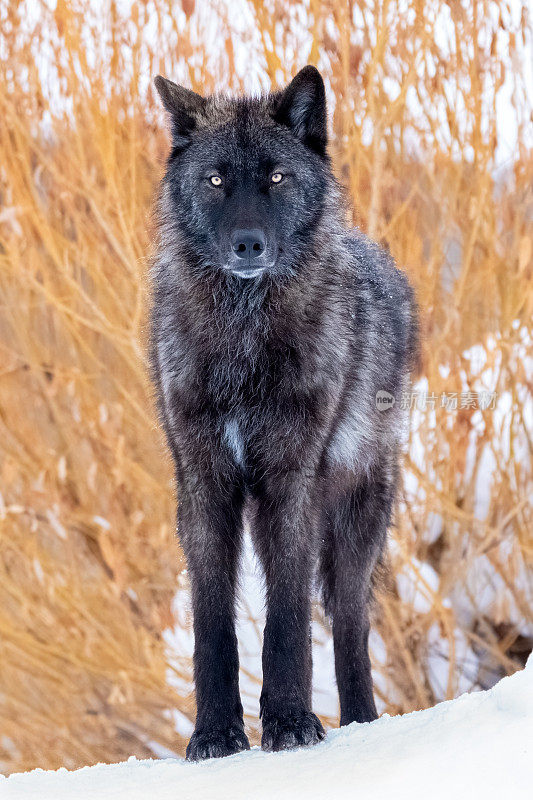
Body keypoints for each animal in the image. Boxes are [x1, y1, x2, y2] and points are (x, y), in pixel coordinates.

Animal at [151, 65, 420, 760]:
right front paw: (216, 734)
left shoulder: (290, 481)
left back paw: (361, 725)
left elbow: (289, 614)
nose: (248, 244)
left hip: (356, 521)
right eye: (216, 180)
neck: (244, 343)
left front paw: (292, 725)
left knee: (349, 624)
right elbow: (212, 619)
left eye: (276, 178)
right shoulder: (203, 483)